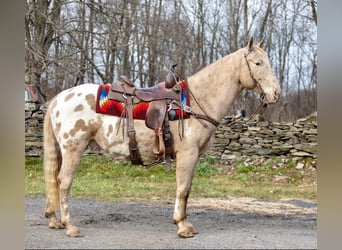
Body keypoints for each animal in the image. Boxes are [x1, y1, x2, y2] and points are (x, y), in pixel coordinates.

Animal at [42, 37, 280, 238]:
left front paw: (184, 222)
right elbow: (182, 189)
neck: (195, 102)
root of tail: (58, 98)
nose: (276, 93)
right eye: (258, 63)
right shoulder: (187, 154)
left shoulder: (194, 157)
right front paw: (182, 227)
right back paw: (70, 226)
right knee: (63, 183)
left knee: (54, 180)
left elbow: (187, 189)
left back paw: (54, 220)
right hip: (73, 149)